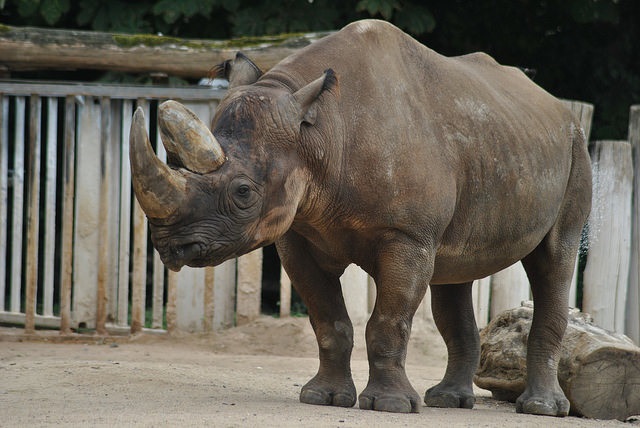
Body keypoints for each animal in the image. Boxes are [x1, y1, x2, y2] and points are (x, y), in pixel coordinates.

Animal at [130, 19, 591, 416]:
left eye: (243, 192)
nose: (171, 247)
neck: (319, 133)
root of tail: (557, 106)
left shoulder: (407, 235)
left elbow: (388, 321)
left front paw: (390, 406)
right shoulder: (297, 234)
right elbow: (328, 319)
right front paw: (323, 397)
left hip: (574, 147)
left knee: (555, 260)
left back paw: (541, 408)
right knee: (454, 275)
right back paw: (447, 401)